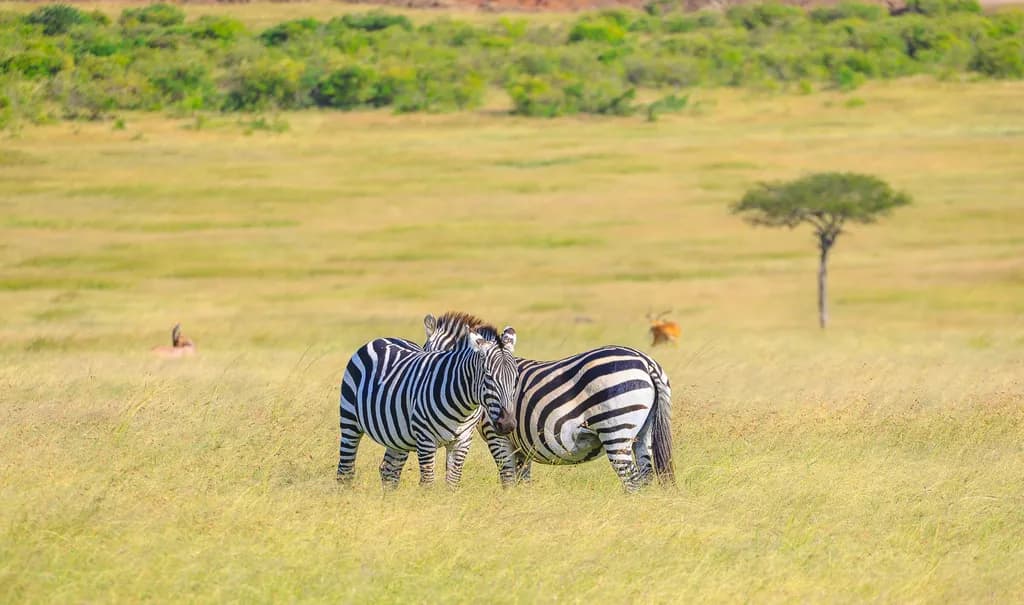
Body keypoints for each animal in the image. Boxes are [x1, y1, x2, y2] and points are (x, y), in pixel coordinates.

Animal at [337, 324, 519, 489]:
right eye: (488, 375)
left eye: (516, 377)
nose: (507, 424)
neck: (463, 407)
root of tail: (383, 339)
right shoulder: (425, 439)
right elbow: (428, 483)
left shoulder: (463, 440)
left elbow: (452, 481)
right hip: (349, 420)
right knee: (345, 470)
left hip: (397, 437)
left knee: (389, 471)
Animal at [422, 312, 674, 492]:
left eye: (425, 351)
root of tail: (645, 361)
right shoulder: (520, 446)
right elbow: (522, 483)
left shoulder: (498, 437)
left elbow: (507, 481)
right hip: (644, 432)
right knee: (646, 476)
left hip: (616, 428)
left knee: (632, 481)